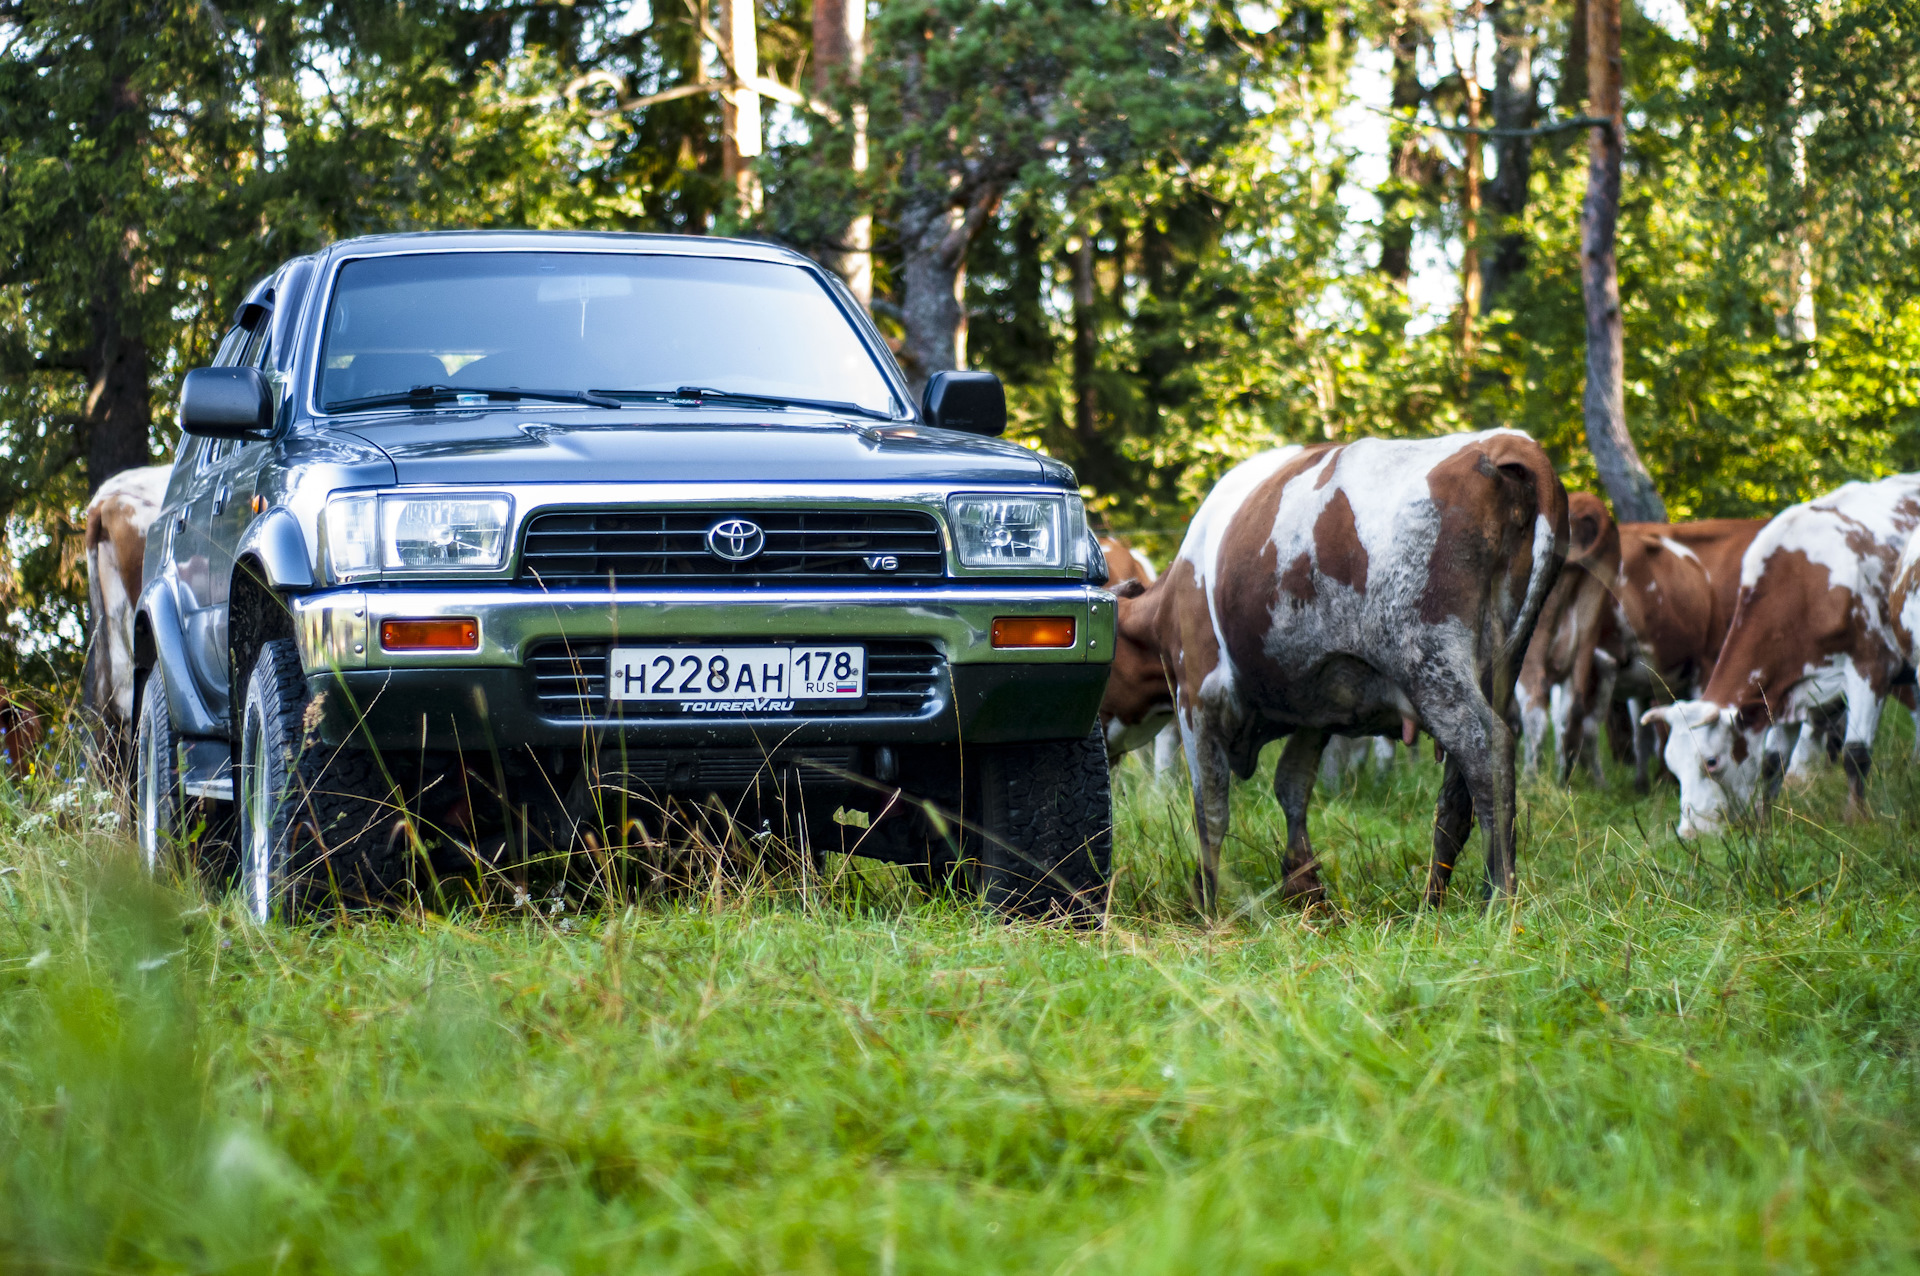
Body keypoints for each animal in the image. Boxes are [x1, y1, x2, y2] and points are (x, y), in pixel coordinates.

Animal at [1105, 427, 1566, 905]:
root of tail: (1504, 441)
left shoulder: (1198, 696)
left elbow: (1209, 810)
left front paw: (1206, 901)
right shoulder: (1320, 702)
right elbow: (1291, 784)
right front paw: (1303, 883)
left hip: (1431, 663)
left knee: (1486, 749)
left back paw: (1498, 897)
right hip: (1495, 669)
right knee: (1457, 795)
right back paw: (1432, 901)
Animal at [1635, 472, 1920, 832]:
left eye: (1711, 761)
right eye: (1671, 764)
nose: (1690, 832)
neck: (1806, 585)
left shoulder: (1871, 667)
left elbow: (1855, 753)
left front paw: (1857, 818)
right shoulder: (1784, 691)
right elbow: (1772, 762)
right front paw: (1763, 821)